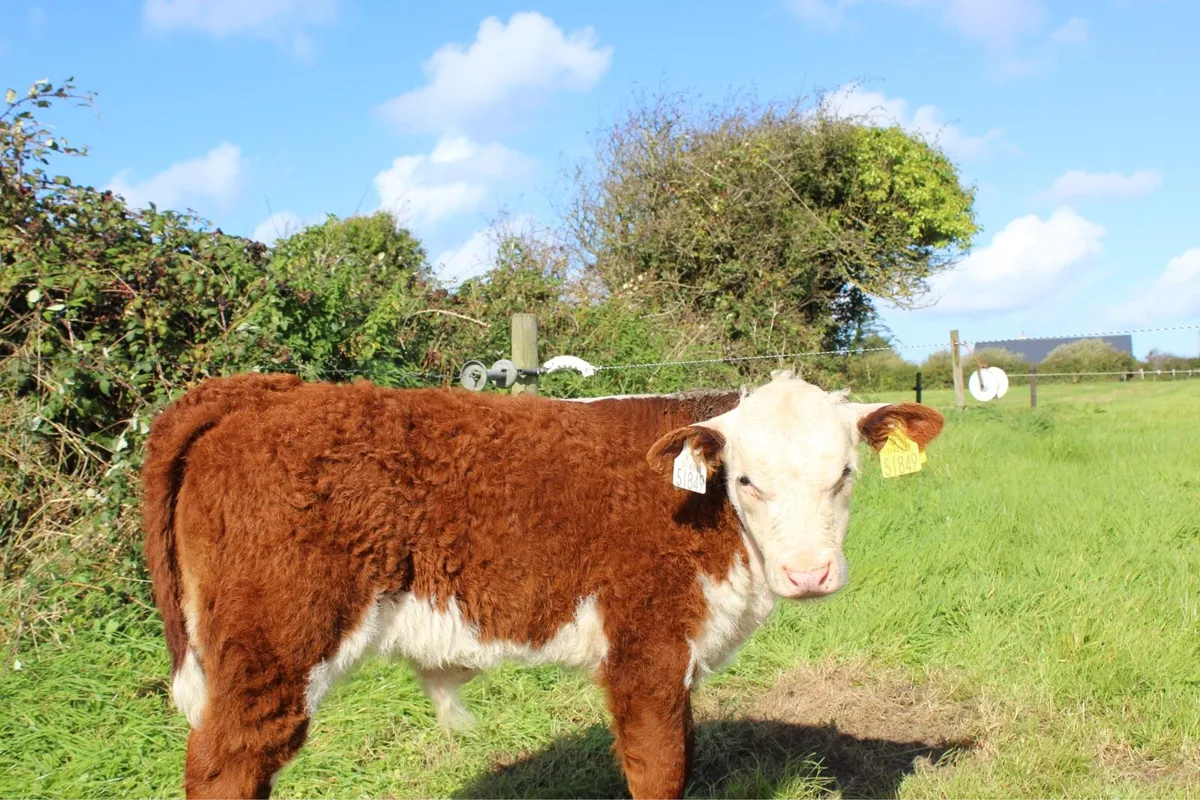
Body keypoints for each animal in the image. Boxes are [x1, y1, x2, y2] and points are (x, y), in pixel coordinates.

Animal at [141, 370, 944, 799]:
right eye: (747, 480)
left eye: (845, 472)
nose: (808, 573)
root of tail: (261, 391)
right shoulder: (647, 651)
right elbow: (661, 768)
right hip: (275, 646)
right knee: (223, 765)